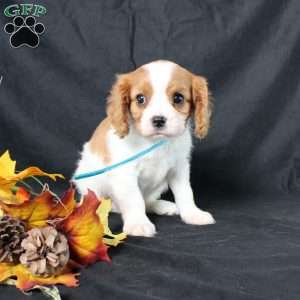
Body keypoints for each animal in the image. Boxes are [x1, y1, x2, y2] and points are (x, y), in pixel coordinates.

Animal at [75, 60, 216, 237]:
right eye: (140, 99)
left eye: (178, 98)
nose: (158, 120)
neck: (154, 142)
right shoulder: (125, 172)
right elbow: (134, 199)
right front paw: (138, 223)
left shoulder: (179, 168)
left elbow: (185, 192)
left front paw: (193, 214)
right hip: (92, 186)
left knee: (147, 201)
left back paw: (162, 206)